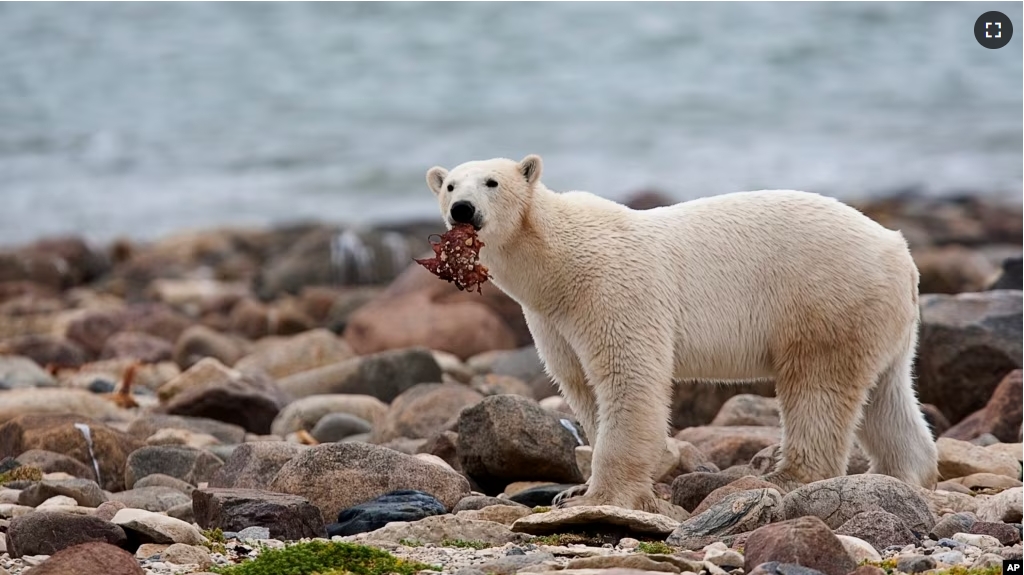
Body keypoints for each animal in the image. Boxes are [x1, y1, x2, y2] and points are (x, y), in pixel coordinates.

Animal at [421, 153, 937, 509]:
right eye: (450, 185)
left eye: (491, 181)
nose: (462, 209)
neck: (557, 261)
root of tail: (899, 250)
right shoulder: (552, 319)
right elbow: (580, 384)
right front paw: (574, 492)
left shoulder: (612, 289)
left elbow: (628, 377)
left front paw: (602, 495)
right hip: (879, 318)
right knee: (887, 395)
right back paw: (904, 475)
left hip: (824, 298)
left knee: (817, 387)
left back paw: (786, 476)